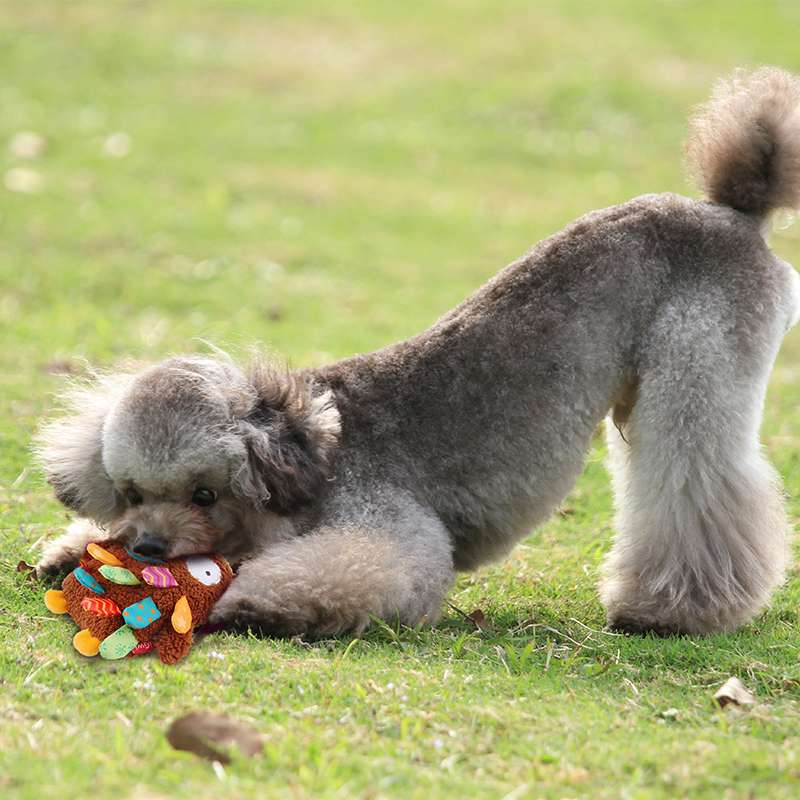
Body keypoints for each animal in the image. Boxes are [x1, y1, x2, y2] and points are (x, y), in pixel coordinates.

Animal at [34, 67, 800, 636]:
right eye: (133, 492)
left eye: (204, 492)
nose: (148, 549)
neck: (311, 450)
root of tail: (735, 213)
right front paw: (70, 551)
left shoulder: (387, 530)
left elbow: (355, 570)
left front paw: (253, 603)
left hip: (699, 371)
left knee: (699, 479)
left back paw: (670, 611)